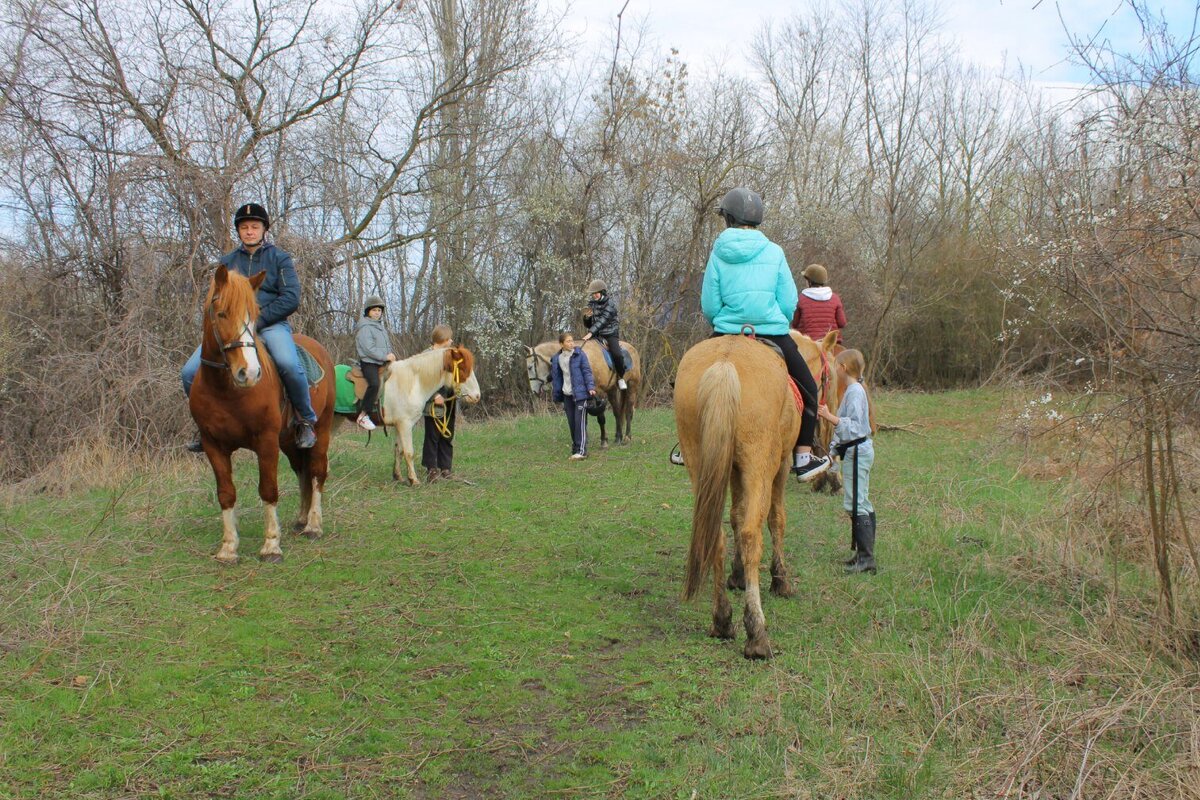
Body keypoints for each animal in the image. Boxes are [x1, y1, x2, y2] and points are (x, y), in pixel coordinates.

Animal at [189, 266, 336, 566]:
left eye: (254, 315)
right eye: (221, 313)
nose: (249, 373)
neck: (226, 391)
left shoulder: (266, 442)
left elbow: (268, 489)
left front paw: (271, 546)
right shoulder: (213, 445)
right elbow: (226, 494)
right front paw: (228, 548)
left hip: (321, 430)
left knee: (316, 472)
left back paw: (313, 525)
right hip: (289, 441)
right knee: (302, 471)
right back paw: (301, 520)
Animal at [381, 345, 480, 482]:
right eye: (462, 369)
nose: (477, 396)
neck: (412, 383)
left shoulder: (400, 425)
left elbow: (399, 450)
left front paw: (398, 477)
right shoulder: (404, 424)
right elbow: (409, 452)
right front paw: (414, 480)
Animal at [676, 328, 835, 662]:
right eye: (827, 376)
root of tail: (725, 363)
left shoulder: (733, 469)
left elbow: (735, 516)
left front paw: (736, 577)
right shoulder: (780, 465)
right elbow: (776, 519)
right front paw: (781, 579)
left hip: (702, 461)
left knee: (717, 534)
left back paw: (722, 620)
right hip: (761, 463)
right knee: (752, 534)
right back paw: (756, 633)